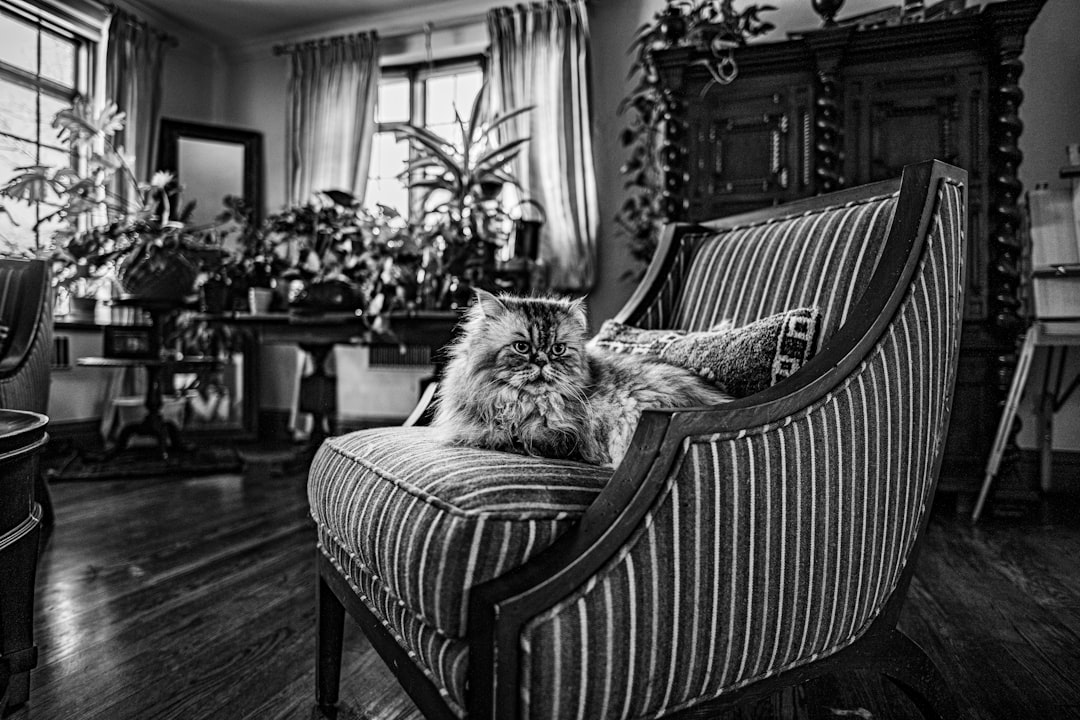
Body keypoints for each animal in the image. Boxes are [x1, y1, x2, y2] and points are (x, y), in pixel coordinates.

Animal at [432, 291, 734, 468]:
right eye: (521, 347)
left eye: (558, 349)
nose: (542, 361)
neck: (524, 403)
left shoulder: (565, 439)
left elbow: (513, 438)